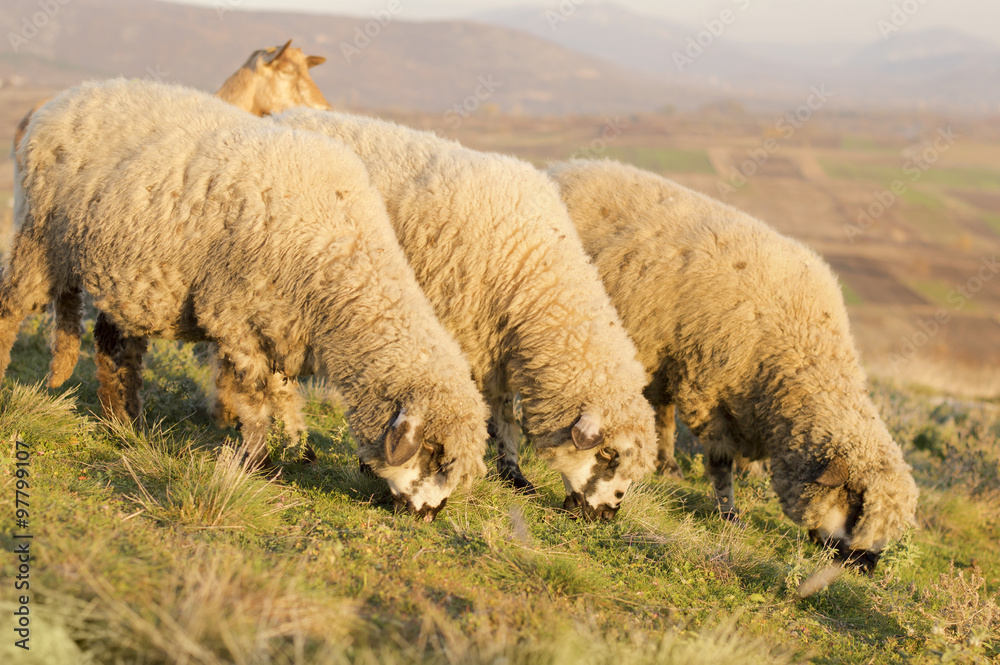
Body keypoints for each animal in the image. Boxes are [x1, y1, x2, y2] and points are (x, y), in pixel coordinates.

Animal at [1, 79, 489, 520]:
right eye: (435, 452)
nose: (431, 514)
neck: (341, 263)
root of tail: (64, 97)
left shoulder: (278, 325)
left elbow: (275, 395)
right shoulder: (238, 319)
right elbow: (254, 400)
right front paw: (260, 461)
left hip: (127, 272)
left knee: (113, 344)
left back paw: (123, 421)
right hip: (38, 237)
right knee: (12, 309)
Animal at [545, 158, 918, 569]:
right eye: (856, 507)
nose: (866, 565)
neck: (800, 343)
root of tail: (568, 166)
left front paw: (747, 473)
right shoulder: (707, 389)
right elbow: (721, 461)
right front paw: (729, 512)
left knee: (662, 411)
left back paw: (668, 465)